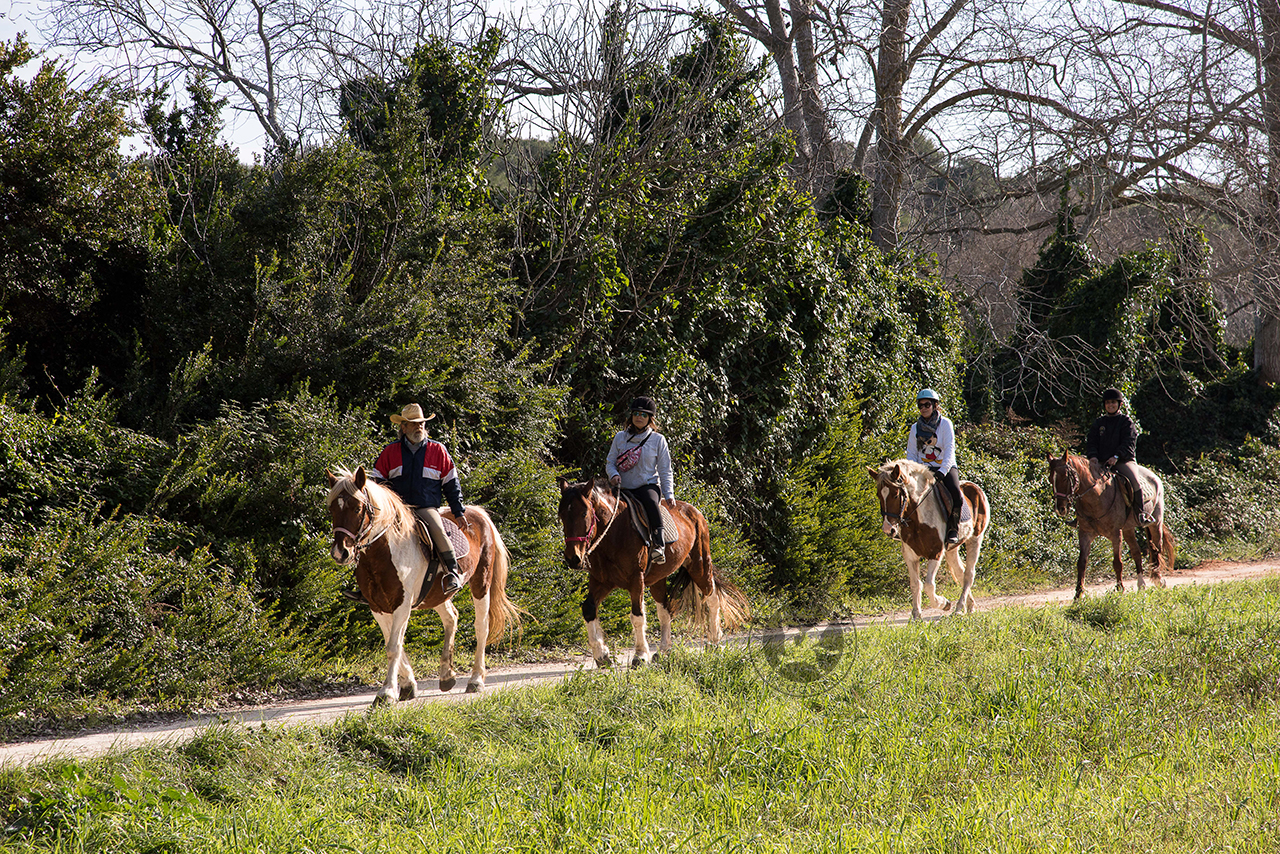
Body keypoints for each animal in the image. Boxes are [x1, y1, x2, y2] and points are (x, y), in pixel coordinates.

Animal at [325, 468, 519, 701]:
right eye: (332, 508)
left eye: (357, 508)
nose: (340, 553)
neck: (384, 552)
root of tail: (478, 513)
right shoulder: (376, 607)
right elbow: (394, 644)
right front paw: (407, 685)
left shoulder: (402, 604)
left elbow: (394, 646)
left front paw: (386, 693)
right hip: (437, 594)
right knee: (451, 617)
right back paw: (446, 676)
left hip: (481, 583)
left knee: (481, 627)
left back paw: (476, 680)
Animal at [552, 473, 747, 665]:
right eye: (561, 515)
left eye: (584, 513)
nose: (573, 558)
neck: (614, 534)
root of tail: (695, 512)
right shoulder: (602, 581)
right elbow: (588, 609)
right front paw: (602, 655)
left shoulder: (636, 580)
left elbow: (637, 616)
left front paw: (640, 655)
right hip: (658, 579)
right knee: (665, 611)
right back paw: (664, 651)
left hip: (699, 565)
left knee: (712, 598)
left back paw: (714, 642)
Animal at [865, 460, 993, 622]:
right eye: (879, 495)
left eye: (895, 495)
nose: (889, 530)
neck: (917, 518)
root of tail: (975, 488)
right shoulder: (910, 556)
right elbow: (915, 584)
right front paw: (916, 615)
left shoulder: (936, 552)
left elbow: (928, 585)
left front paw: (944, 604)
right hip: (952, 549)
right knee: (960, 572)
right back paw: (969, 606)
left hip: (975, 539)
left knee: (969, 574)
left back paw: (958, 608)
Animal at [1044, 450, 1172, 599]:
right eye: (1050, 478)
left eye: (1065, 478)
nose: (1060, 509)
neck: (1096, 497)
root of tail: (1154, 476)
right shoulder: (1085, 534)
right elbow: (1081, 563)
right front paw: (1078, 595)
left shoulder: (1116, 534)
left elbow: (1117, 563)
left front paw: (1120, 589)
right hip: (1128, 528)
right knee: (1136, 552)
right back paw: (1141, 585)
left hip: (1155, 523)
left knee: (1157, 548)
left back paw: (1159, 580)